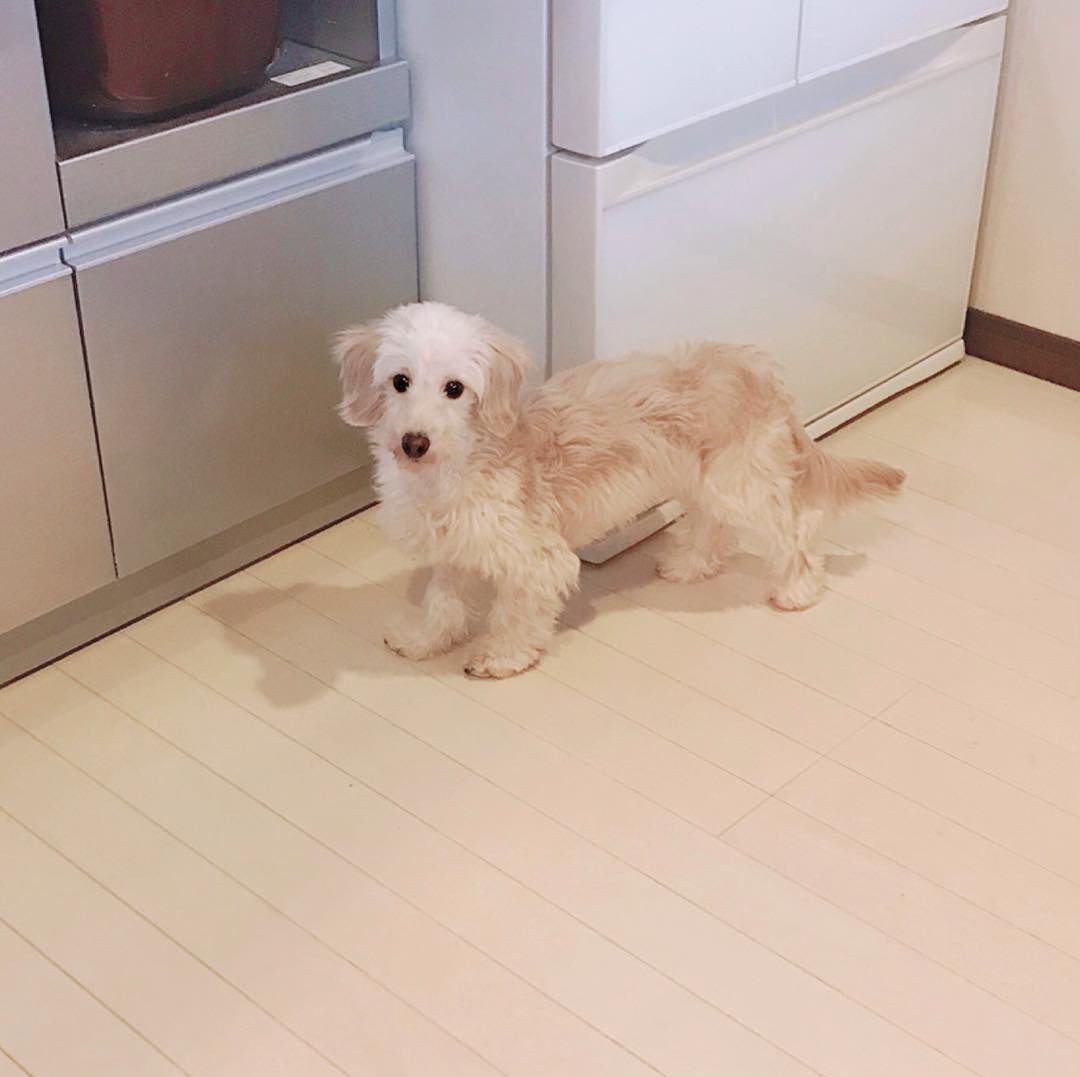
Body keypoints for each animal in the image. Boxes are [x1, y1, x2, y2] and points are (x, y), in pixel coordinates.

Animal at [334, 298, 902, 678]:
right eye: (400, 381)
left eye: (455, 388)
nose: (414, 442)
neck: (456, 466)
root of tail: (757, 365)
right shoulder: (452, 550)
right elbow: (442, 603)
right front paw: (424, 640)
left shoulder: (537, 559)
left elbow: (515, 613)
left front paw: (501, 657)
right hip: (700, 479)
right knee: (713, 526)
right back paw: (690, 564)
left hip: (740, 481)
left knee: (797, 526)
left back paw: (798, 589)